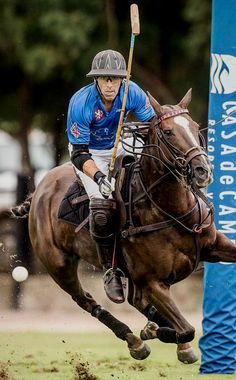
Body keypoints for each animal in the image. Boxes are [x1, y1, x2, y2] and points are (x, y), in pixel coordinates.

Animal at [11, 88, 236, 362]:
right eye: (168, 132)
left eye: (194, 127)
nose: (203, 170)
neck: (172, 210)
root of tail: (40, 188)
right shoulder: (151, 281)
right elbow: (187, 329)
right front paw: (164, 336)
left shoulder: (214, 246)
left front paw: (157, 329)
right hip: (58, 264)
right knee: (86, 299)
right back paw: (134, 339)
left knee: (134, 300)